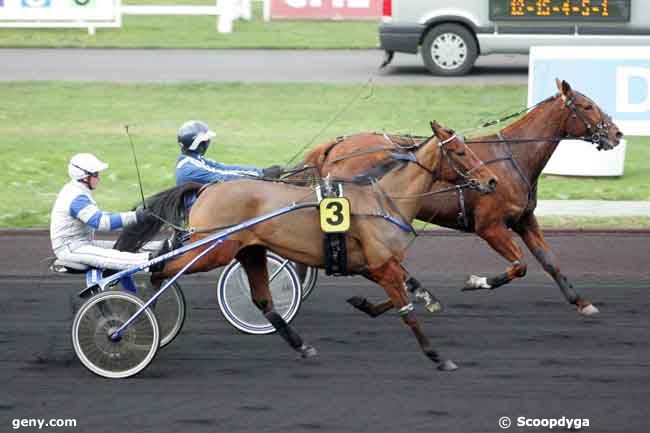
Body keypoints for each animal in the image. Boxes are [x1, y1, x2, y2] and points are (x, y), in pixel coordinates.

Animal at [116, 120, 496, 368]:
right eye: (460, 151)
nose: (491, 180)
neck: (383, 198)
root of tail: (207, 189)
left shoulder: (374, 264)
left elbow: (403, 293)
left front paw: (364, 302)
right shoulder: (381, 264)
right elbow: (406, 311)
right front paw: (438, 357)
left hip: (248, 251)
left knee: (262, 300)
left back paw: (302, 346)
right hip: (212, 249)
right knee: (161, 265)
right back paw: (138, 311)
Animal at [300, 79, 624, 316]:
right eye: (587, 106)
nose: (617, 133)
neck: (512, 158)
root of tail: (333, 146)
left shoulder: (524, 220)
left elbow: (550, 261)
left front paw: (582, 302)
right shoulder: (489, 226)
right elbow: (519, 266)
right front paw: (475, 282)